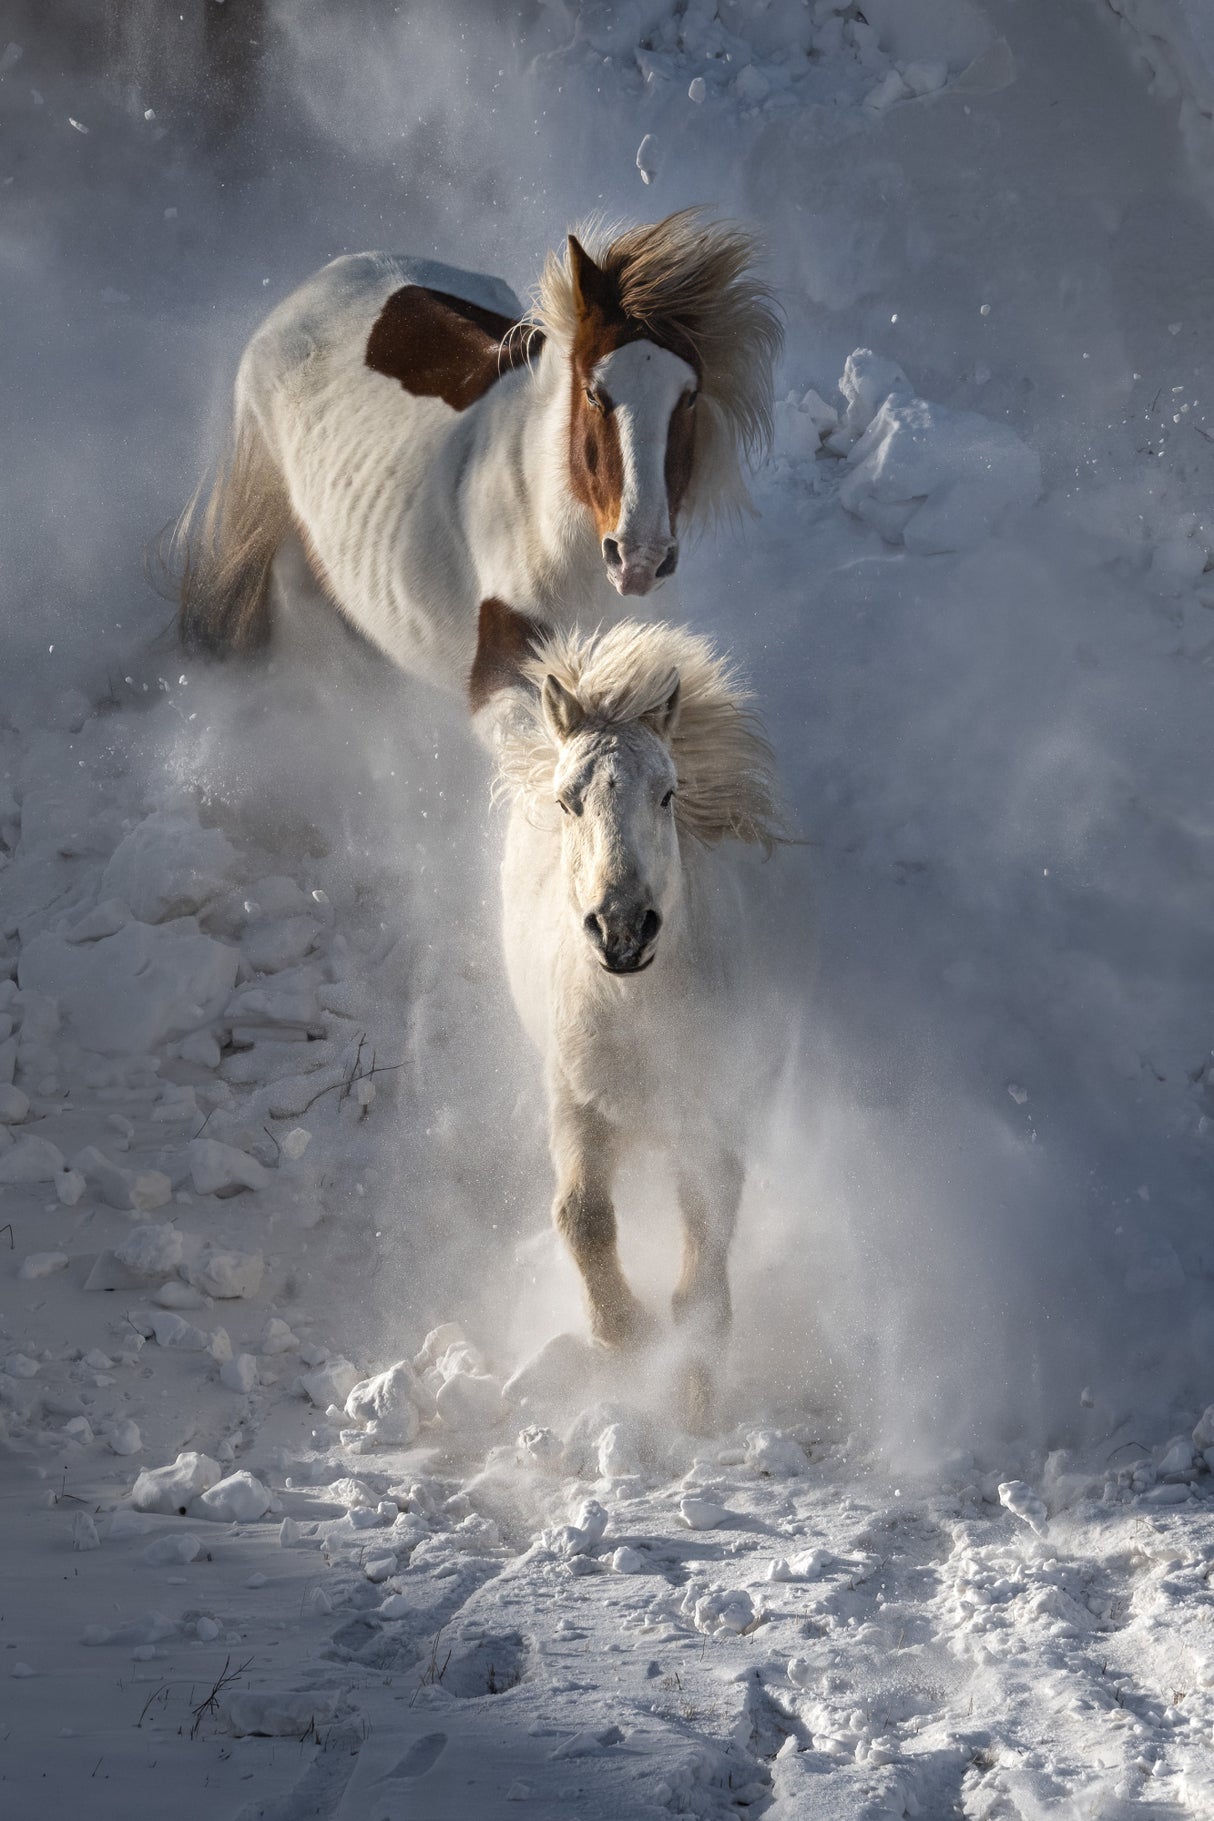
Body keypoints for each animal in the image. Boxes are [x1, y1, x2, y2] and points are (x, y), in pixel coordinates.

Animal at [473, 597, 789, 1431]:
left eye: (668, 792)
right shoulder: (576, 1103)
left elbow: (703, 1268)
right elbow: (581, 1216)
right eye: (567, 798)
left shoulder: (710, 1122)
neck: (641, 1020)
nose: (622, 928)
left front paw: (695, 1401)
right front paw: (626, 1334)